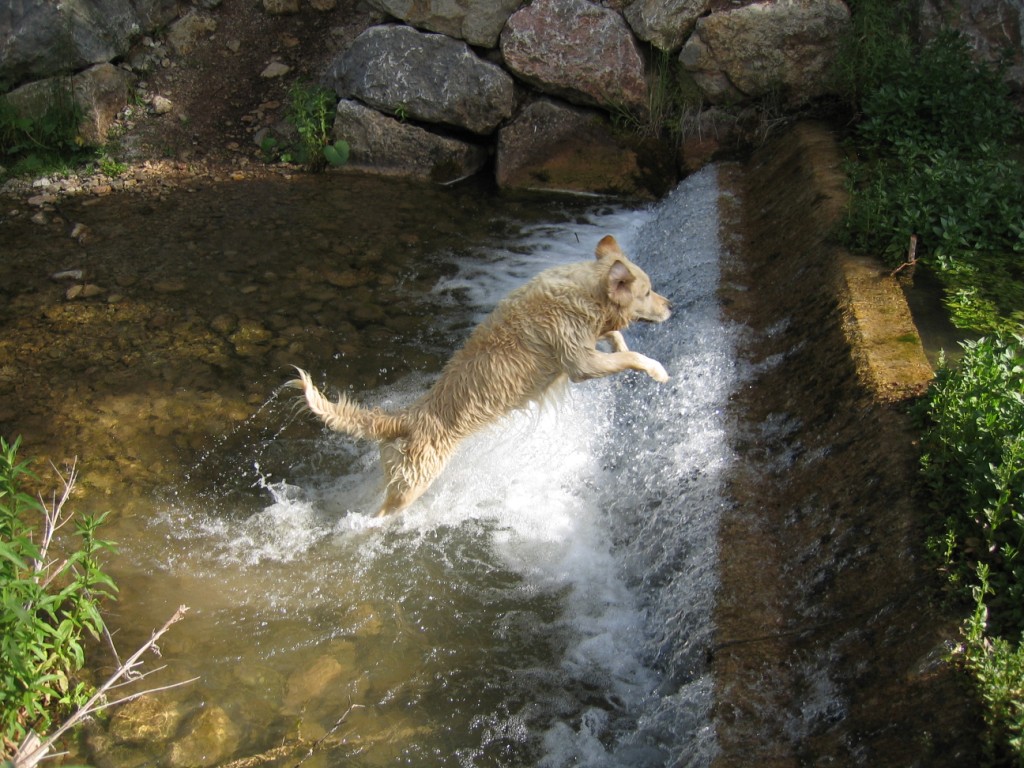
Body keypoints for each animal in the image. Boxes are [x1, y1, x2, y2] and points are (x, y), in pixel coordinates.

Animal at [288, 236, 671, 518]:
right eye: (647, 292)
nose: (672, 306)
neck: (585, 293)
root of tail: (404, 418)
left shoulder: (589, 338)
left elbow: (616, 339)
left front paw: (622, 341)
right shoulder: (580, 362)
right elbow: (628, 357)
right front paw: (657, 369)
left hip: (395, 471)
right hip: (415, 480)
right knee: (380, 514)